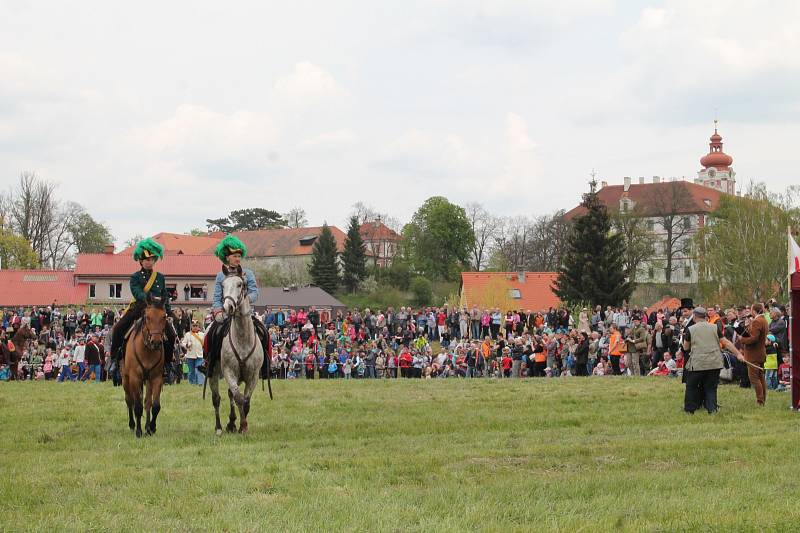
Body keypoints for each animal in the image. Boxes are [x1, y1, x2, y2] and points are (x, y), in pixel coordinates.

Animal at [120, 296, 166, 436]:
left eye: (164, 317)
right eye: (147, 317)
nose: (156, 342)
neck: (147, 350)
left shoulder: (156, 378)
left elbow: (155, 405)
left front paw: (151, 427)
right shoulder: (135, 378)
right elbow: (137, 406)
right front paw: (139, 431)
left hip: (147, 380)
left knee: (147, 402)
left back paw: (147, 427)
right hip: (126, 379)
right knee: (129, 400)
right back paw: (132, 425)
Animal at [209, 272, 266, 434]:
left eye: (240, 284)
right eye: (222, 285)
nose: (227, 307)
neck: (242, 339)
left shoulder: (253, 376)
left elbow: (245, 401)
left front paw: (242, 426)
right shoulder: (229, 372)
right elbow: (239, 398)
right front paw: (241, 425)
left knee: (230, 394)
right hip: (213, 375)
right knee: (217, 399)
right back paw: (219, 428)